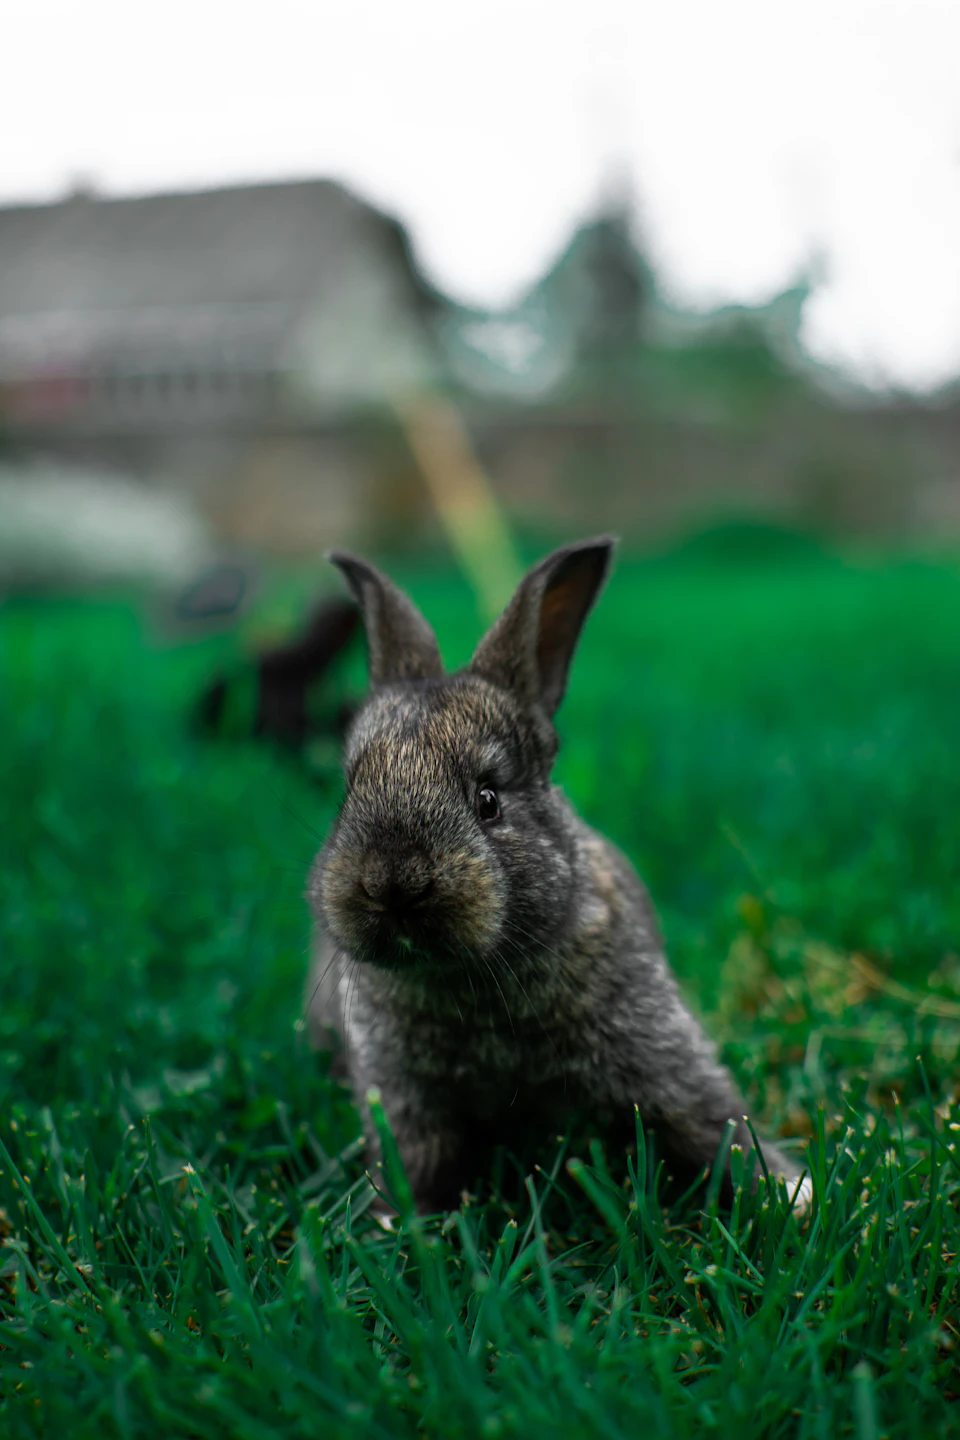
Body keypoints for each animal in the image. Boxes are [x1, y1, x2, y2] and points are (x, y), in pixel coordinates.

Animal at [304, 538, 811, 1216]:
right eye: (348, 793)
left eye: (488, 800)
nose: (392, 884)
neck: (470, 979)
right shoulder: (405, 1097)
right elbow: (413, 1160)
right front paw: (395, 1220)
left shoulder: (660, 1053)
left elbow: (712, 1122)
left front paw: (791, 1192)